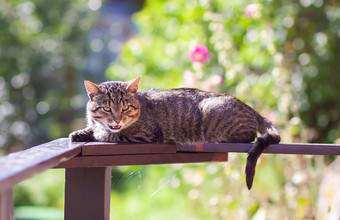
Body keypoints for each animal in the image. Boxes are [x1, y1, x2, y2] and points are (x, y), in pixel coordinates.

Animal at [69, 76, 282, 189]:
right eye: (107, 108)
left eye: (125, 108)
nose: (117, 120)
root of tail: (249, 107)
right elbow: (93, 128)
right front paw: (80, 132)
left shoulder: (145, 134)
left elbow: (109, 134)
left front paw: (98, 133)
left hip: (211, 109)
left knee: (250, 136)